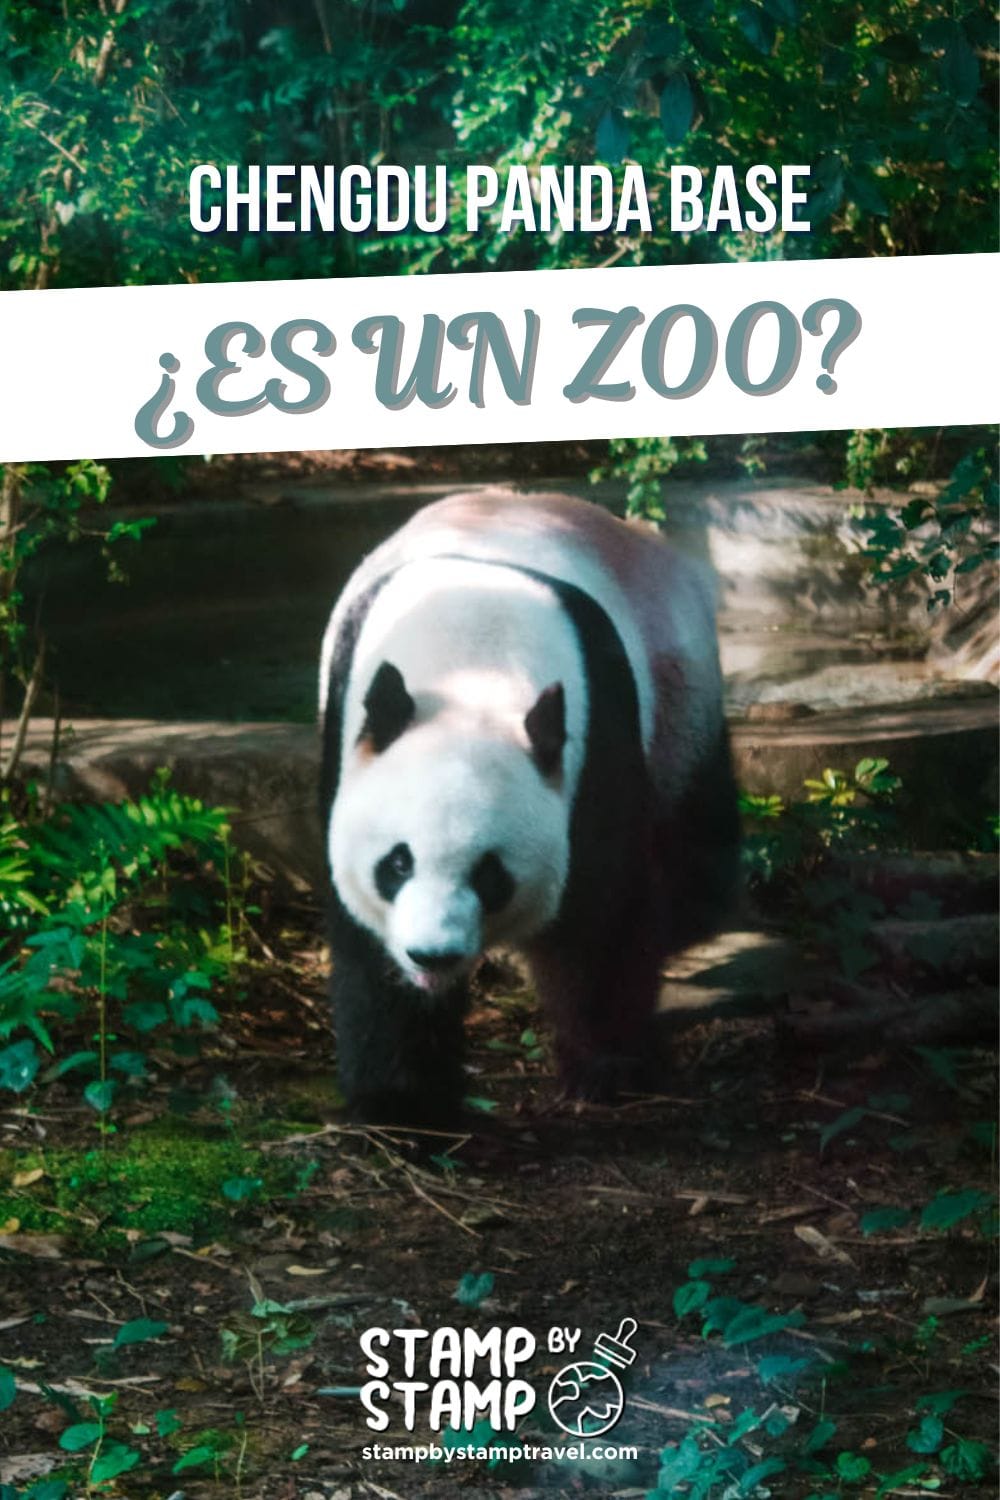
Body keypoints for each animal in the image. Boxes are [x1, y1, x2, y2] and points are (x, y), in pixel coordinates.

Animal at [319, 488, 739, 1126]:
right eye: (397, 863)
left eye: (491, 874)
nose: (432, 955)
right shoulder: (346, 731)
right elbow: (367, 947)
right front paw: (403, 1101)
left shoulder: (595, 734)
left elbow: (602, 912)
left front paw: (609, 1070)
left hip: (682, 697)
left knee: (696, 828)